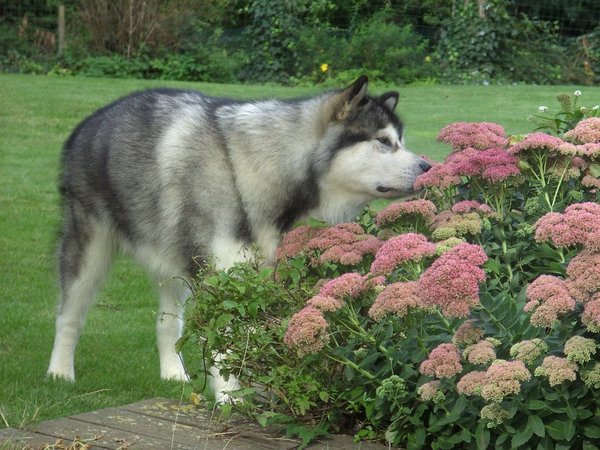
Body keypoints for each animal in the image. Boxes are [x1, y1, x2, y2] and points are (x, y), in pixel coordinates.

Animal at [48, 75, 432, 402]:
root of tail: (94, 118)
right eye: (383, 141)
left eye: (400, 141)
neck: (253, 172)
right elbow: (227, 349)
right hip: (89, 247)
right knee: (70, 314)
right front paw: (232, 404)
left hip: (175, 258)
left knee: (168, 322)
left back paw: (173, 374)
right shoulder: (222, 281)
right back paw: (59, 372)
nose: (428, 167)